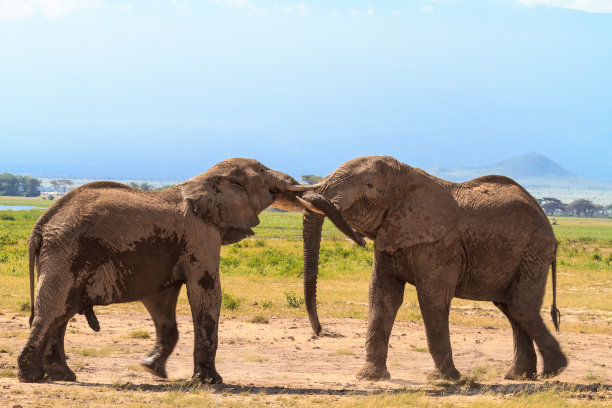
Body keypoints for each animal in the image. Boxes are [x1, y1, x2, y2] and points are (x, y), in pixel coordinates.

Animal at [17, 157, 364, 382]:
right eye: (266, 174)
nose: (362, 241)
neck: (207, 179)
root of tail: (39, 226)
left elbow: (162, 303)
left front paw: (151, 369)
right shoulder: (201, 234)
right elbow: (207, 291)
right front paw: (211, 382)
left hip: (65, 254)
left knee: (60, 313)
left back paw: (62, 376)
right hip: (66, 252)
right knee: (52, 311)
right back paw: (33, 377)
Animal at [298, 156, 568, 382]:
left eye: (370, 185)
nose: (320, 331)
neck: (409, 177)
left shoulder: (441, 244)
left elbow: (431, 298)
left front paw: (444, 379)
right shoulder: (389, 235)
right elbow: (382, 297)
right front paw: (370, 378)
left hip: (533, 251)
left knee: (521, 307)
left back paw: (553, 371)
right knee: (511, 309)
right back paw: (520, 376)